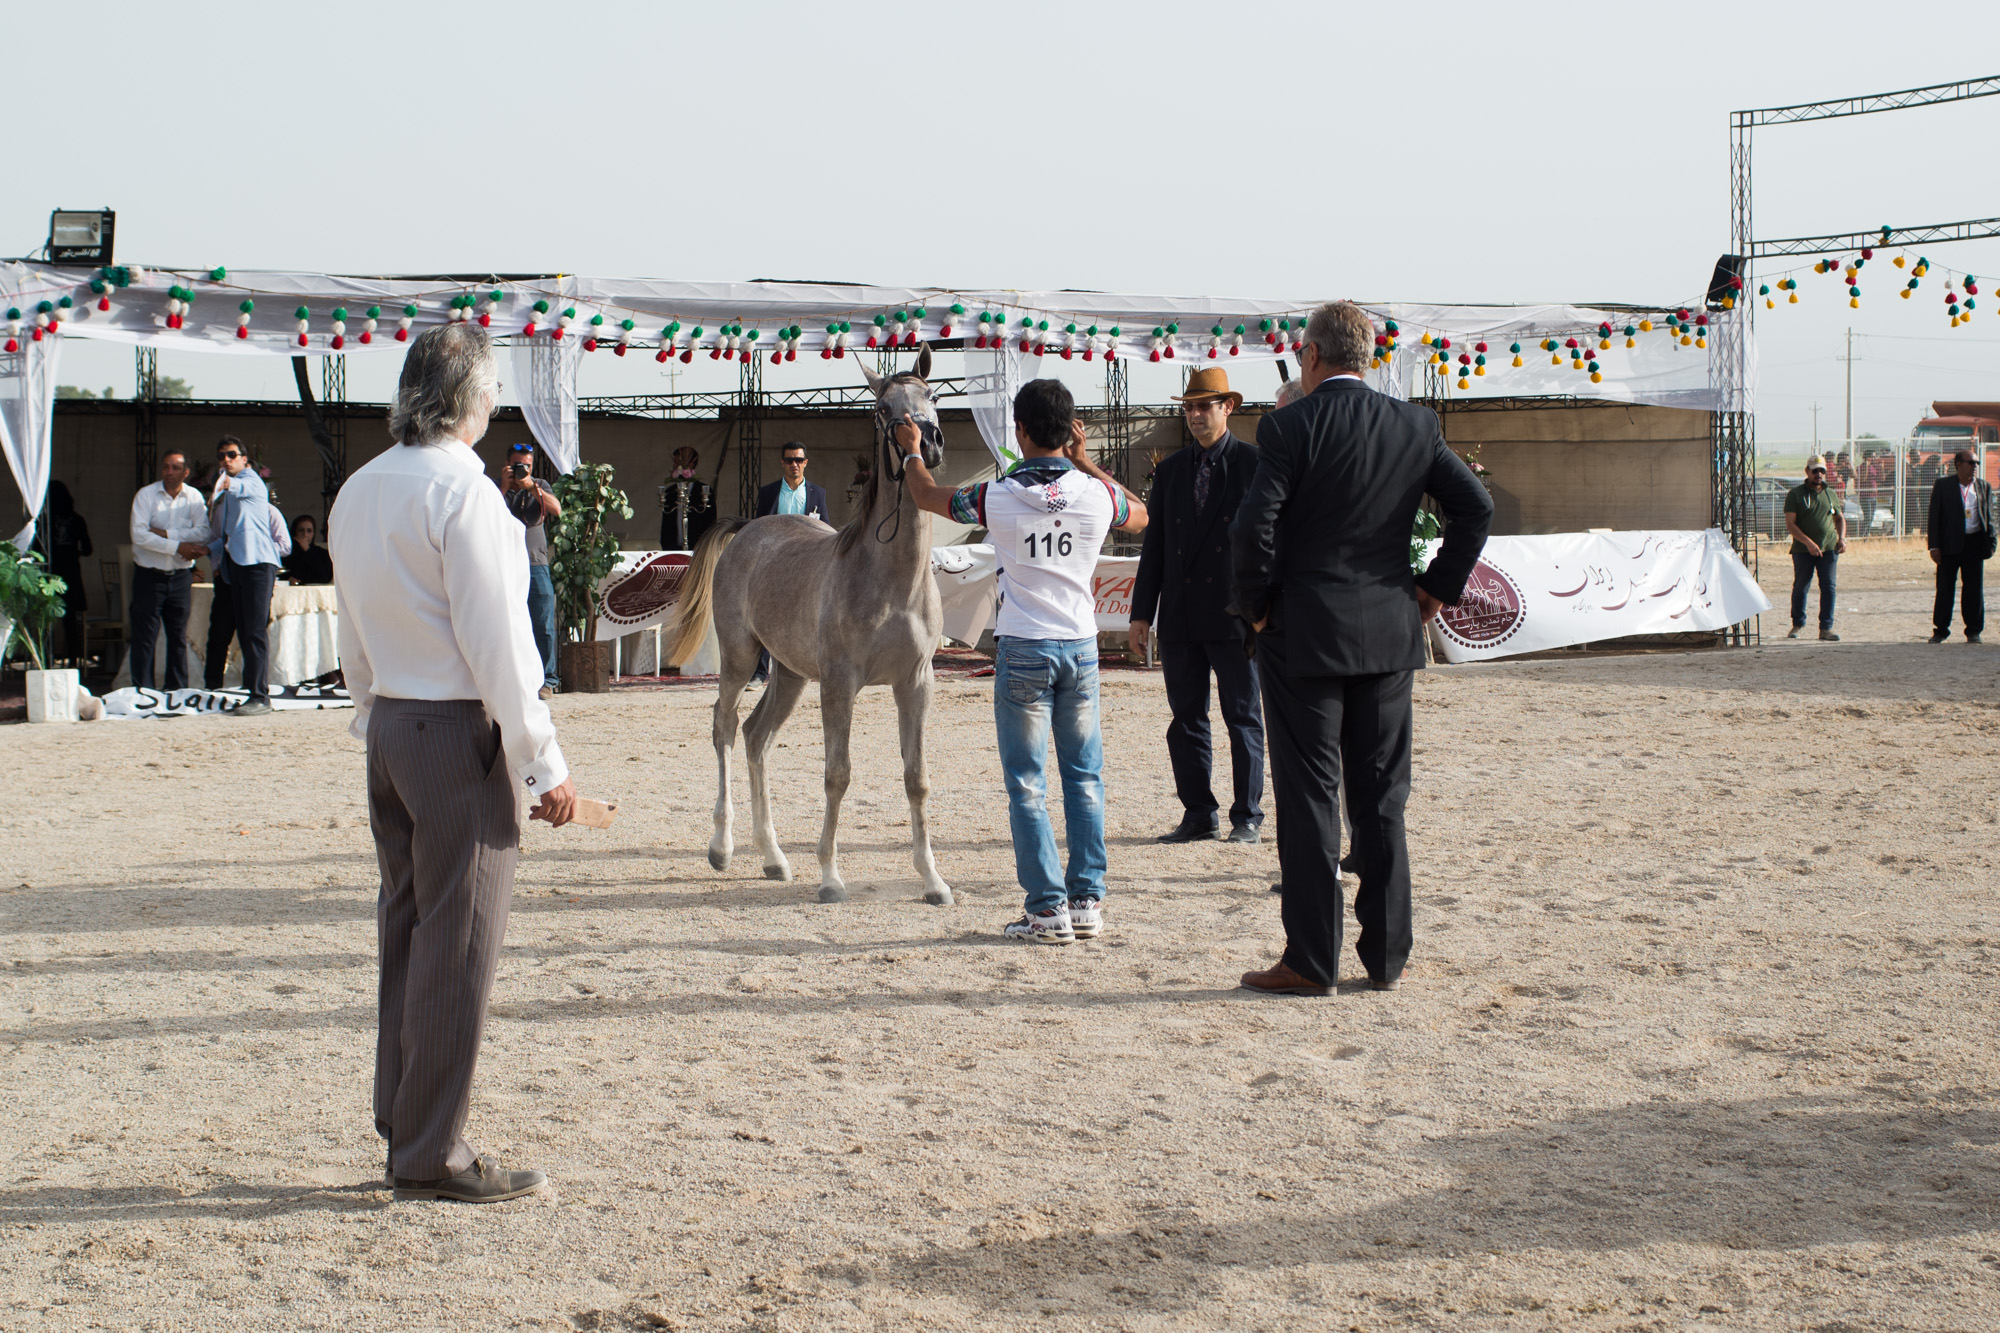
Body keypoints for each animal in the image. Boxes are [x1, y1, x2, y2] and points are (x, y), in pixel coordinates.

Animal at [660, 348, 956, 904]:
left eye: (932, 395)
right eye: (882, 409)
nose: (926, 442)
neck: (891, 580)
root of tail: (747, 530)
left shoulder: (915, 683)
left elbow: (918, 778)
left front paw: (932, 880)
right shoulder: (839, 684)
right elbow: (837, 774)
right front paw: (831, 877)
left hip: (790, 675)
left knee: (755, 736)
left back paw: (773, 858)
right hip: (739, 660)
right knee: (724, 726)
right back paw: (722, 847)